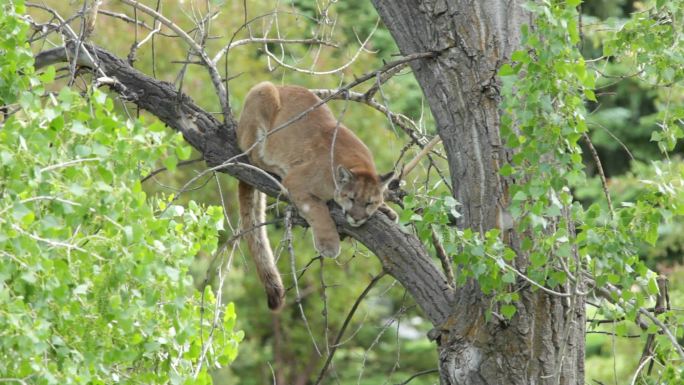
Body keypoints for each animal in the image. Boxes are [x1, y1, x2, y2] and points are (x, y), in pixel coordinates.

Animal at [238, 81, 396, 308]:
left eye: (370, 202)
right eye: (351, 198)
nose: (357, 219)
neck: (358, 163)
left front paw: (387, 210)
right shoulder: (298, 182)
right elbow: (318, 210)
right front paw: (329, 244)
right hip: (263, 91)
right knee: (253, 155)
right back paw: (275, 166)